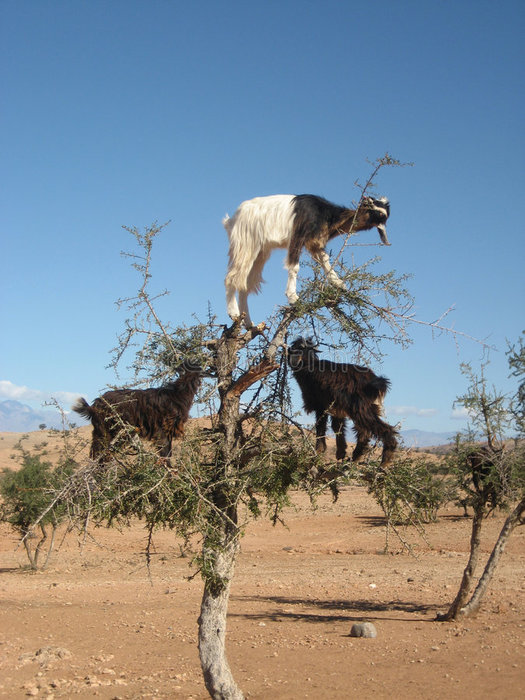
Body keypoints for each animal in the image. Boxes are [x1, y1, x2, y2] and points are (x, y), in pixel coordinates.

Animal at [73, 370, 203, 462]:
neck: (177, 394)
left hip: (102, 432)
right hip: (112, 432)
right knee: (102, 454)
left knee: (96, 454)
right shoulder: (161, 431)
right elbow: (165, 454)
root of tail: (94, 406)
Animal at [223, 194, 390, 326]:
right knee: (232, 277)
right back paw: (234, 313)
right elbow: (294, 266)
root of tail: (232, 219)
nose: (366, 199)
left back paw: (248, 323)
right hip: (246, 242)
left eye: (381, 213)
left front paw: (338, 283)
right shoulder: (298, 235)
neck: (328, 215)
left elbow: (325, 259)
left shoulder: (314, 242)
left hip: (260, 251)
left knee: (244, 284)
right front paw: (293, 297)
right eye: (374, 206)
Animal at [286, 338, 398, 468]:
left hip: (360, 409)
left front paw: (318, 451)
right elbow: (337, 427)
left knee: (381, 429)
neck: (310, 366)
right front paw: (340, 453)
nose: (289, 350)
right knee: (364, 432)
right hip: (369, 408)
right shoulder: (336, 409)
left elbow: (321, 426)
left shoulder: (321, 406)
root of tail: (376, 381)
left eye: (300, 347)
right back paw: (355, 458)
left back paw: (385, 460)